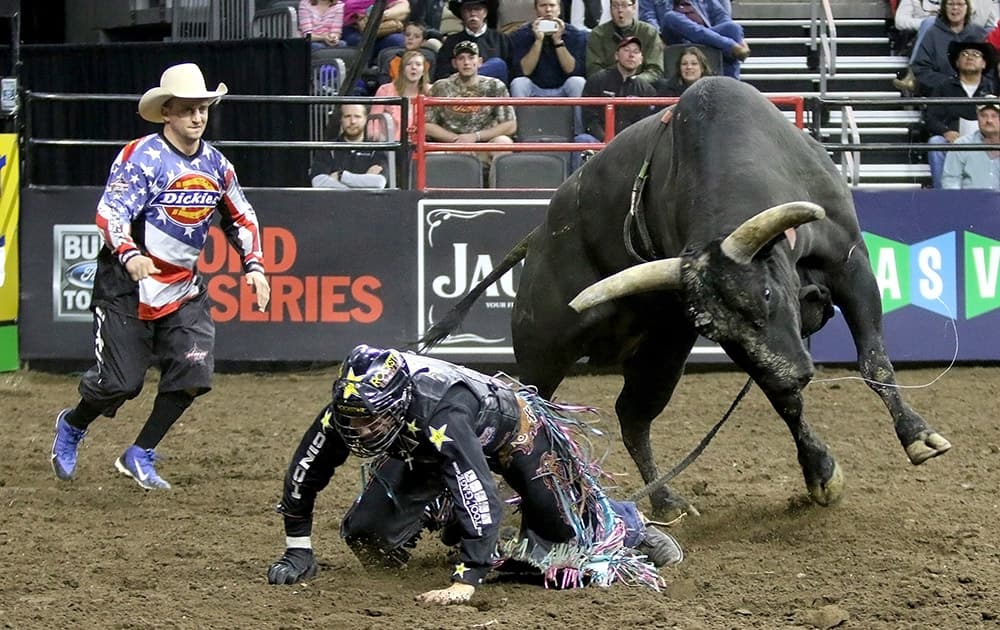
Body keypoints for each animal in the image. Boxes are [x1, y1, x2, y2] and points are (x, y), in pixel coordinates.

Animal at [418, 76, 948, 520]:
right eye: (715, 330)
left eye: (767, 292)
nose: (795, 373)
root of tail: (539, 234)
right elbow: (788, 399)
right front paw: (824, 468)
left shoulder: (849, 262)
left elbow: (872, 362)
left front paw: (913, 437)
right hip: (544, 352)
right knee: (538, 409)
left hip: (662, 348)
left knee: (633, 416)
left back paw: (666, 499)